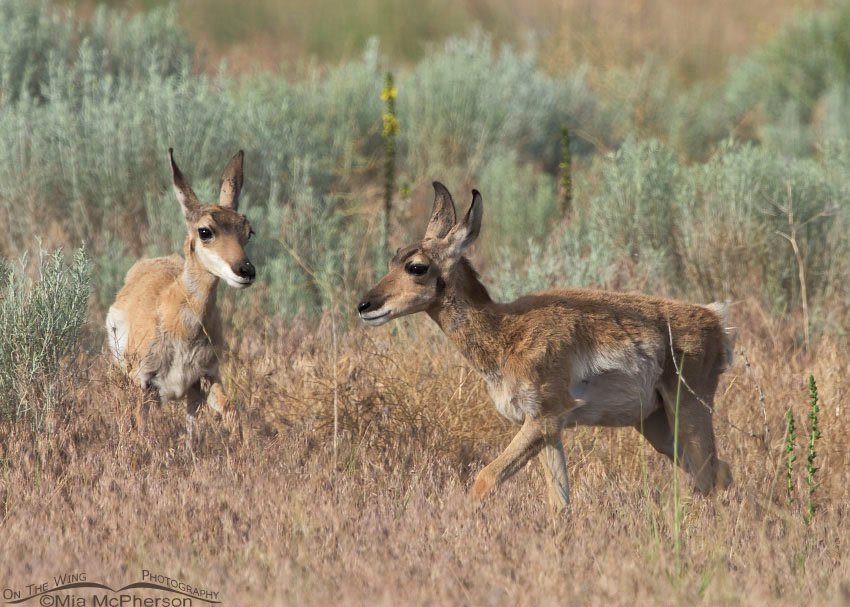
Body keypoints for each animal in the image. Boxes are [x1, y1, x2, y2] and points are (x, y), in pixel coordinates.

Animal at [106, 149, 255, 434]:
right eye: (205, 231)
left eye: (248, 231)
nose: (246, 271)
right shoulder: (146, 385)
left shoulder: (206, 377)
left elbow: (231, 410)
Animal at [357, 182, 733, 511]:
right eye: (394, 258)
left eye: (417, 266)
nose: (364, 305)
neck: (507, 331)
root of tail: (713, 318)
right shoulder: (549, 430)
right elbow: (559, 503)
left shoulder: (542, 421)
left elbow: (485, 478)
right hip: (656, 425)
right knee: (721, 472)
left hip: (689, 411)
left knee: (707, 477)